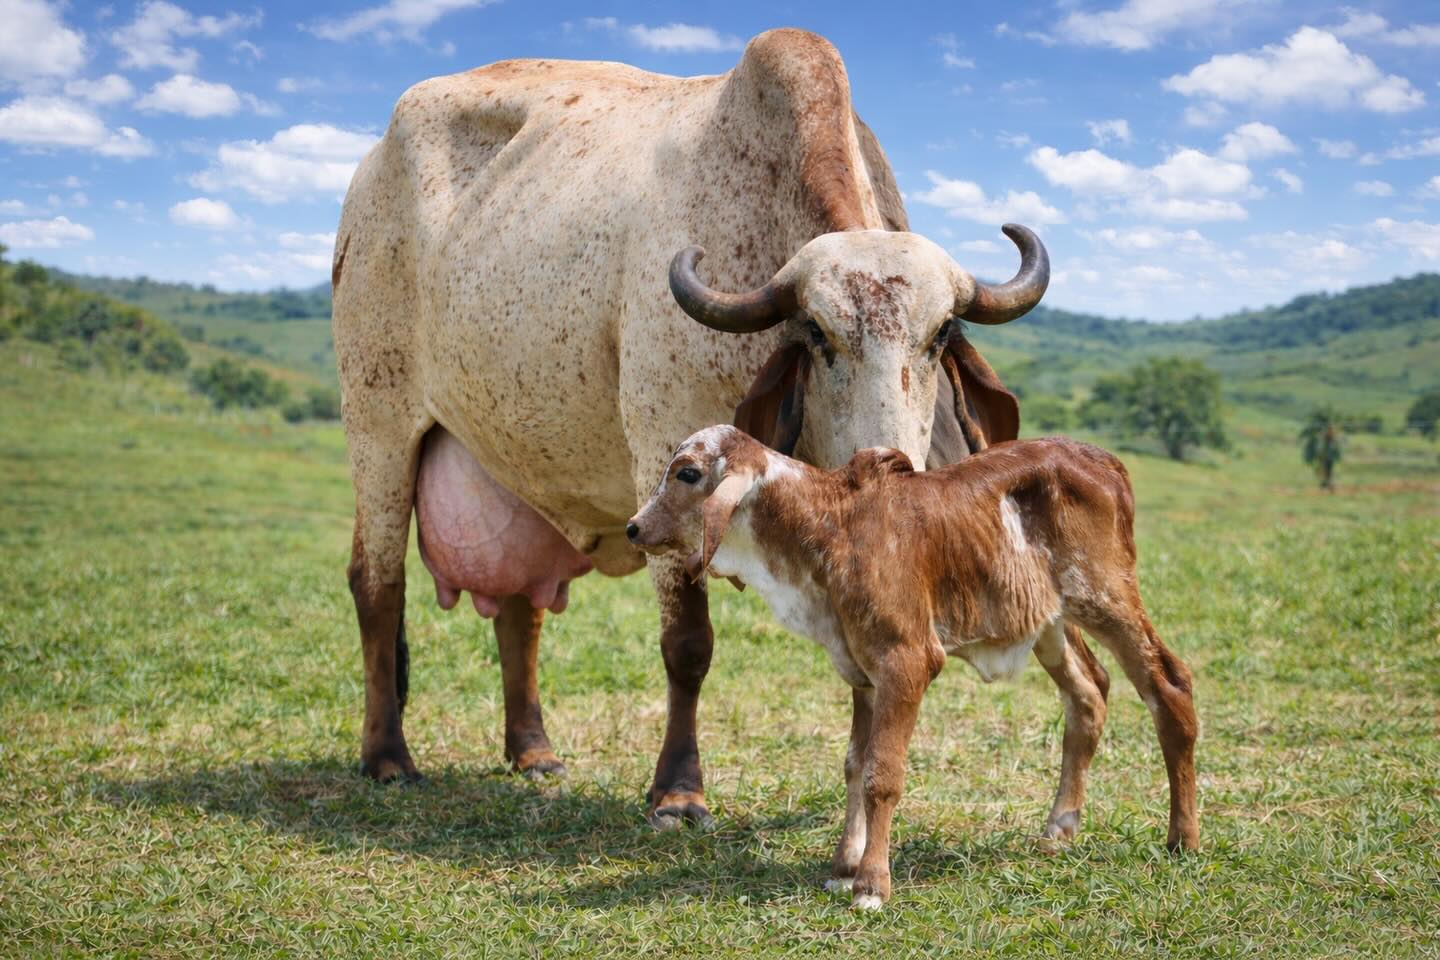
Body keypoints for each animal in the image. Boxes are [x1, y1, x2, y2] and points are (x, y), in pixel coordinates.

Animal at [332, 28, 1076, 829]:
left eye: (939, 335)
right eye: (816, 334)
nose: (891, 460)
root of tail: (374, 160)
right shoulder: (665, 459)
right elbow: (687, 644)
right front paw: (678, 791)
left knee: (520, 612)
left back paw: (532, 751)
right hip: (377, 424)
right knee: (377, 587)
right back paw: (387, 756)